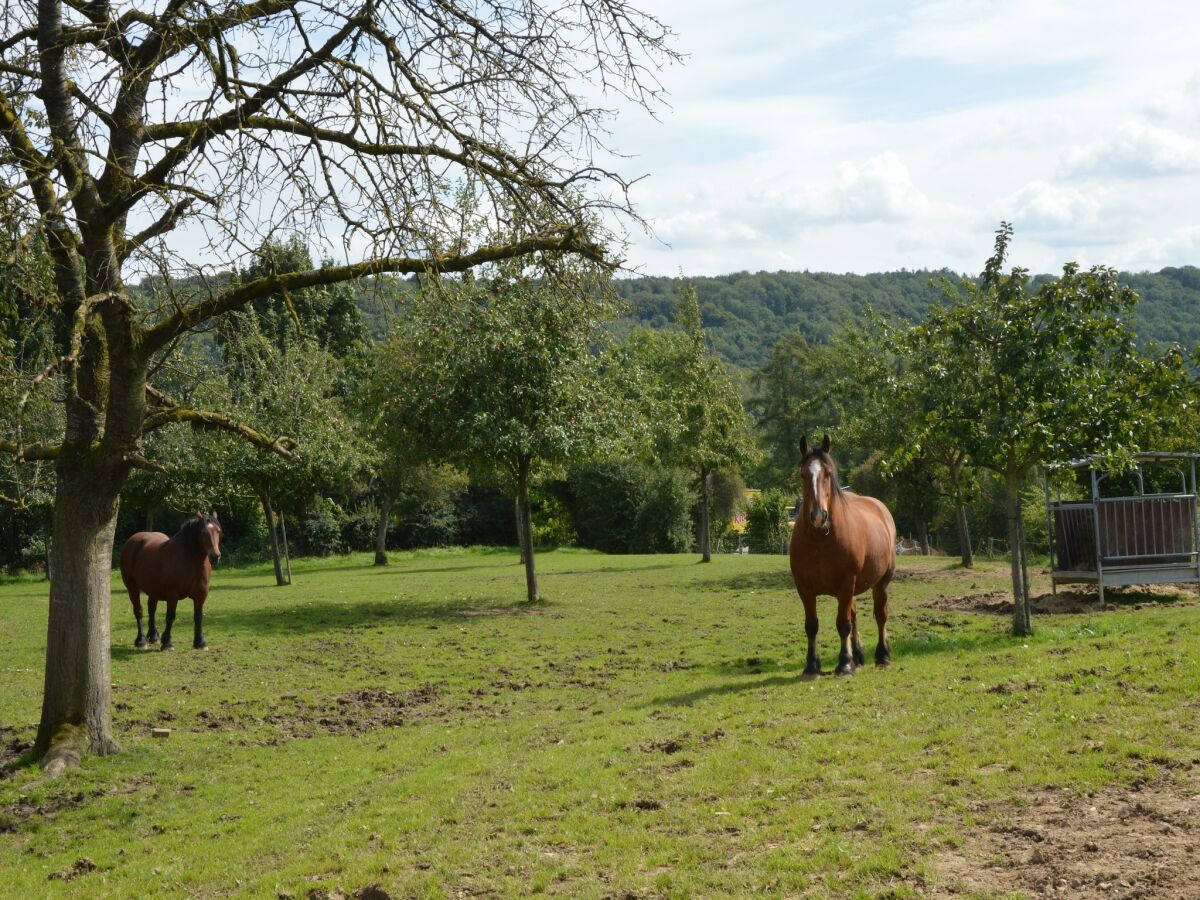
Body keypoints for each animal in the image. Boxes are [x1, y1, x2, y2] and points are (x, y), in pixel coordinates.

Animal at [122, 513, 225, 648]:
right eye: (203, 532)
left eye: (219, 531)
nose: (215, 556)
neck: (191, 562)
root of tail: (132, 541)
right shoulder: (172, 595)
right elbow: (170, 616)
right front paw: (167, 643)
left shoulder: (201, 595)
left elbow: (198, 617)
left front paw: (200, 642)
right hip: (132, 588)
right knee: (138, 611)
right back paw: (141, 640)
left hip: (153, 590)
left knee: (151, 609)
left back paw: (153, 636)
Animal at [792, 434, 897, 676]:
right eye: (803, 474)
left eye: (828, 473)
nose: (818, 516)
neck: (820, 540)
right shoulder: (804, 587)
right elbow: (811, 625)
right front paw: (812, 666)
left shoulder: (847, 582)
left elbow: (843, 624)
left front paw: (844, 664)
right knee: (854, 614)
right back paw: (858, 656)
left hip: (880, 583)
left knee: (880, 615)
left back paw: (882, 656)